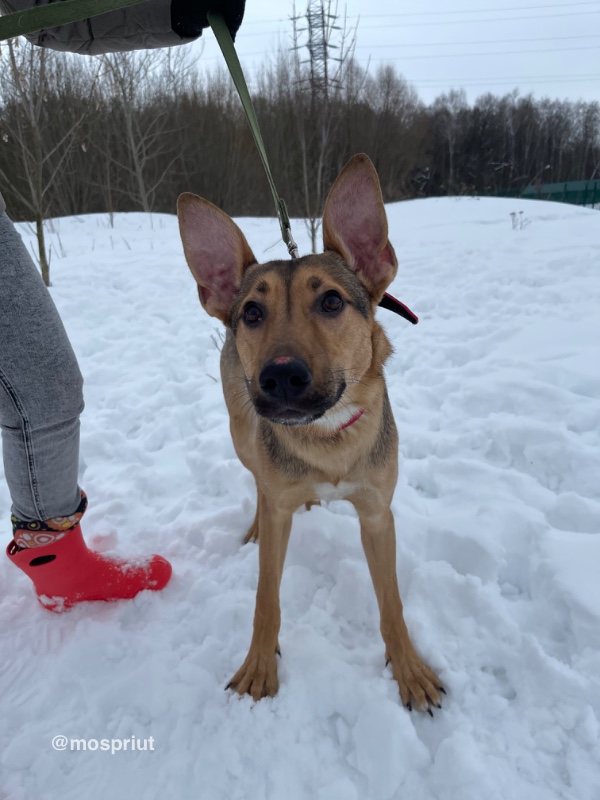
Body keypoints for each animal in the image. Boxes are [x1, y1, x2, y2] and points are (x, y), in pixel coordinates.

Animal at [176, 152, 442, 712]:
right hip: (241, 433)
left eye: (332, 302)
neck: (328, 438)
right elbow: (265, 600)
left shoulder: (377, 514)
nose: (280, 377)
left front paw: (409, 671)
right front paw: (259, 667)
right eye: (253, 312)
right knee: (258, 480)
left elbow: (392, 603)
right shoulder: (279, 506)